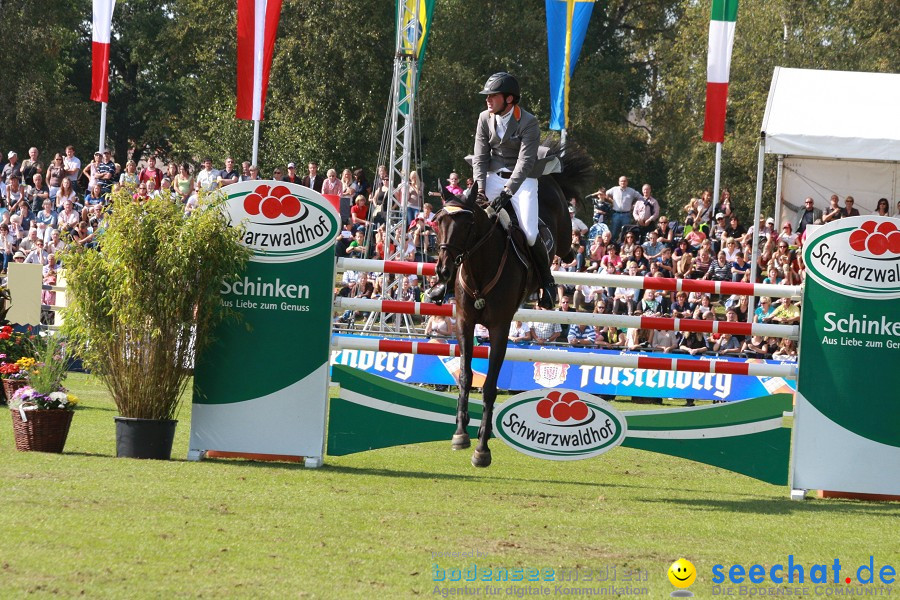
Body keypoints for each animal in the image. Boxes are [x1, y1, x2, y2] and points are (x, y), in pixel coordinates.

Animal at [432, 143, 596, 466]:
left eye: (467, 224)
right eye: (438, 221)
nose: (444, 271)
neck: (480, 268)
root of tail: (547, 177)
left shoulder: (500, 328)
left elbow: (490, 386)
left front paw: (482, 449)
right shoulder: (465, 323)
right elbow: (466, 376)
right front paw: (460, 433)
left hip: (560, 233)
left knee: (565, 248)